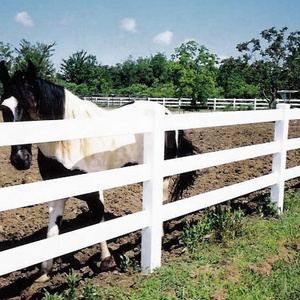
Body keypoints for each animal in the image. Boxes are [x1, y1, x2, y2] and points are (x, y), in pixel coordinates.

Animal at [0, 60, 198, 282]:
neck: (70, 142)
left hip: (163, 175)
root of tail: (165, 112)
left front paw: (105, 260)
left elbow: (98, 219)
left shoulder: (94, 188)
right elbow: (52, 230)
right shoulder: (57, 190)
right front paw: (44, 273)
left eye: (32, 108)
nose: (20, 159)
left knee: (161, 200)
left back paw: (160, 235)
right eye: (4, 109)